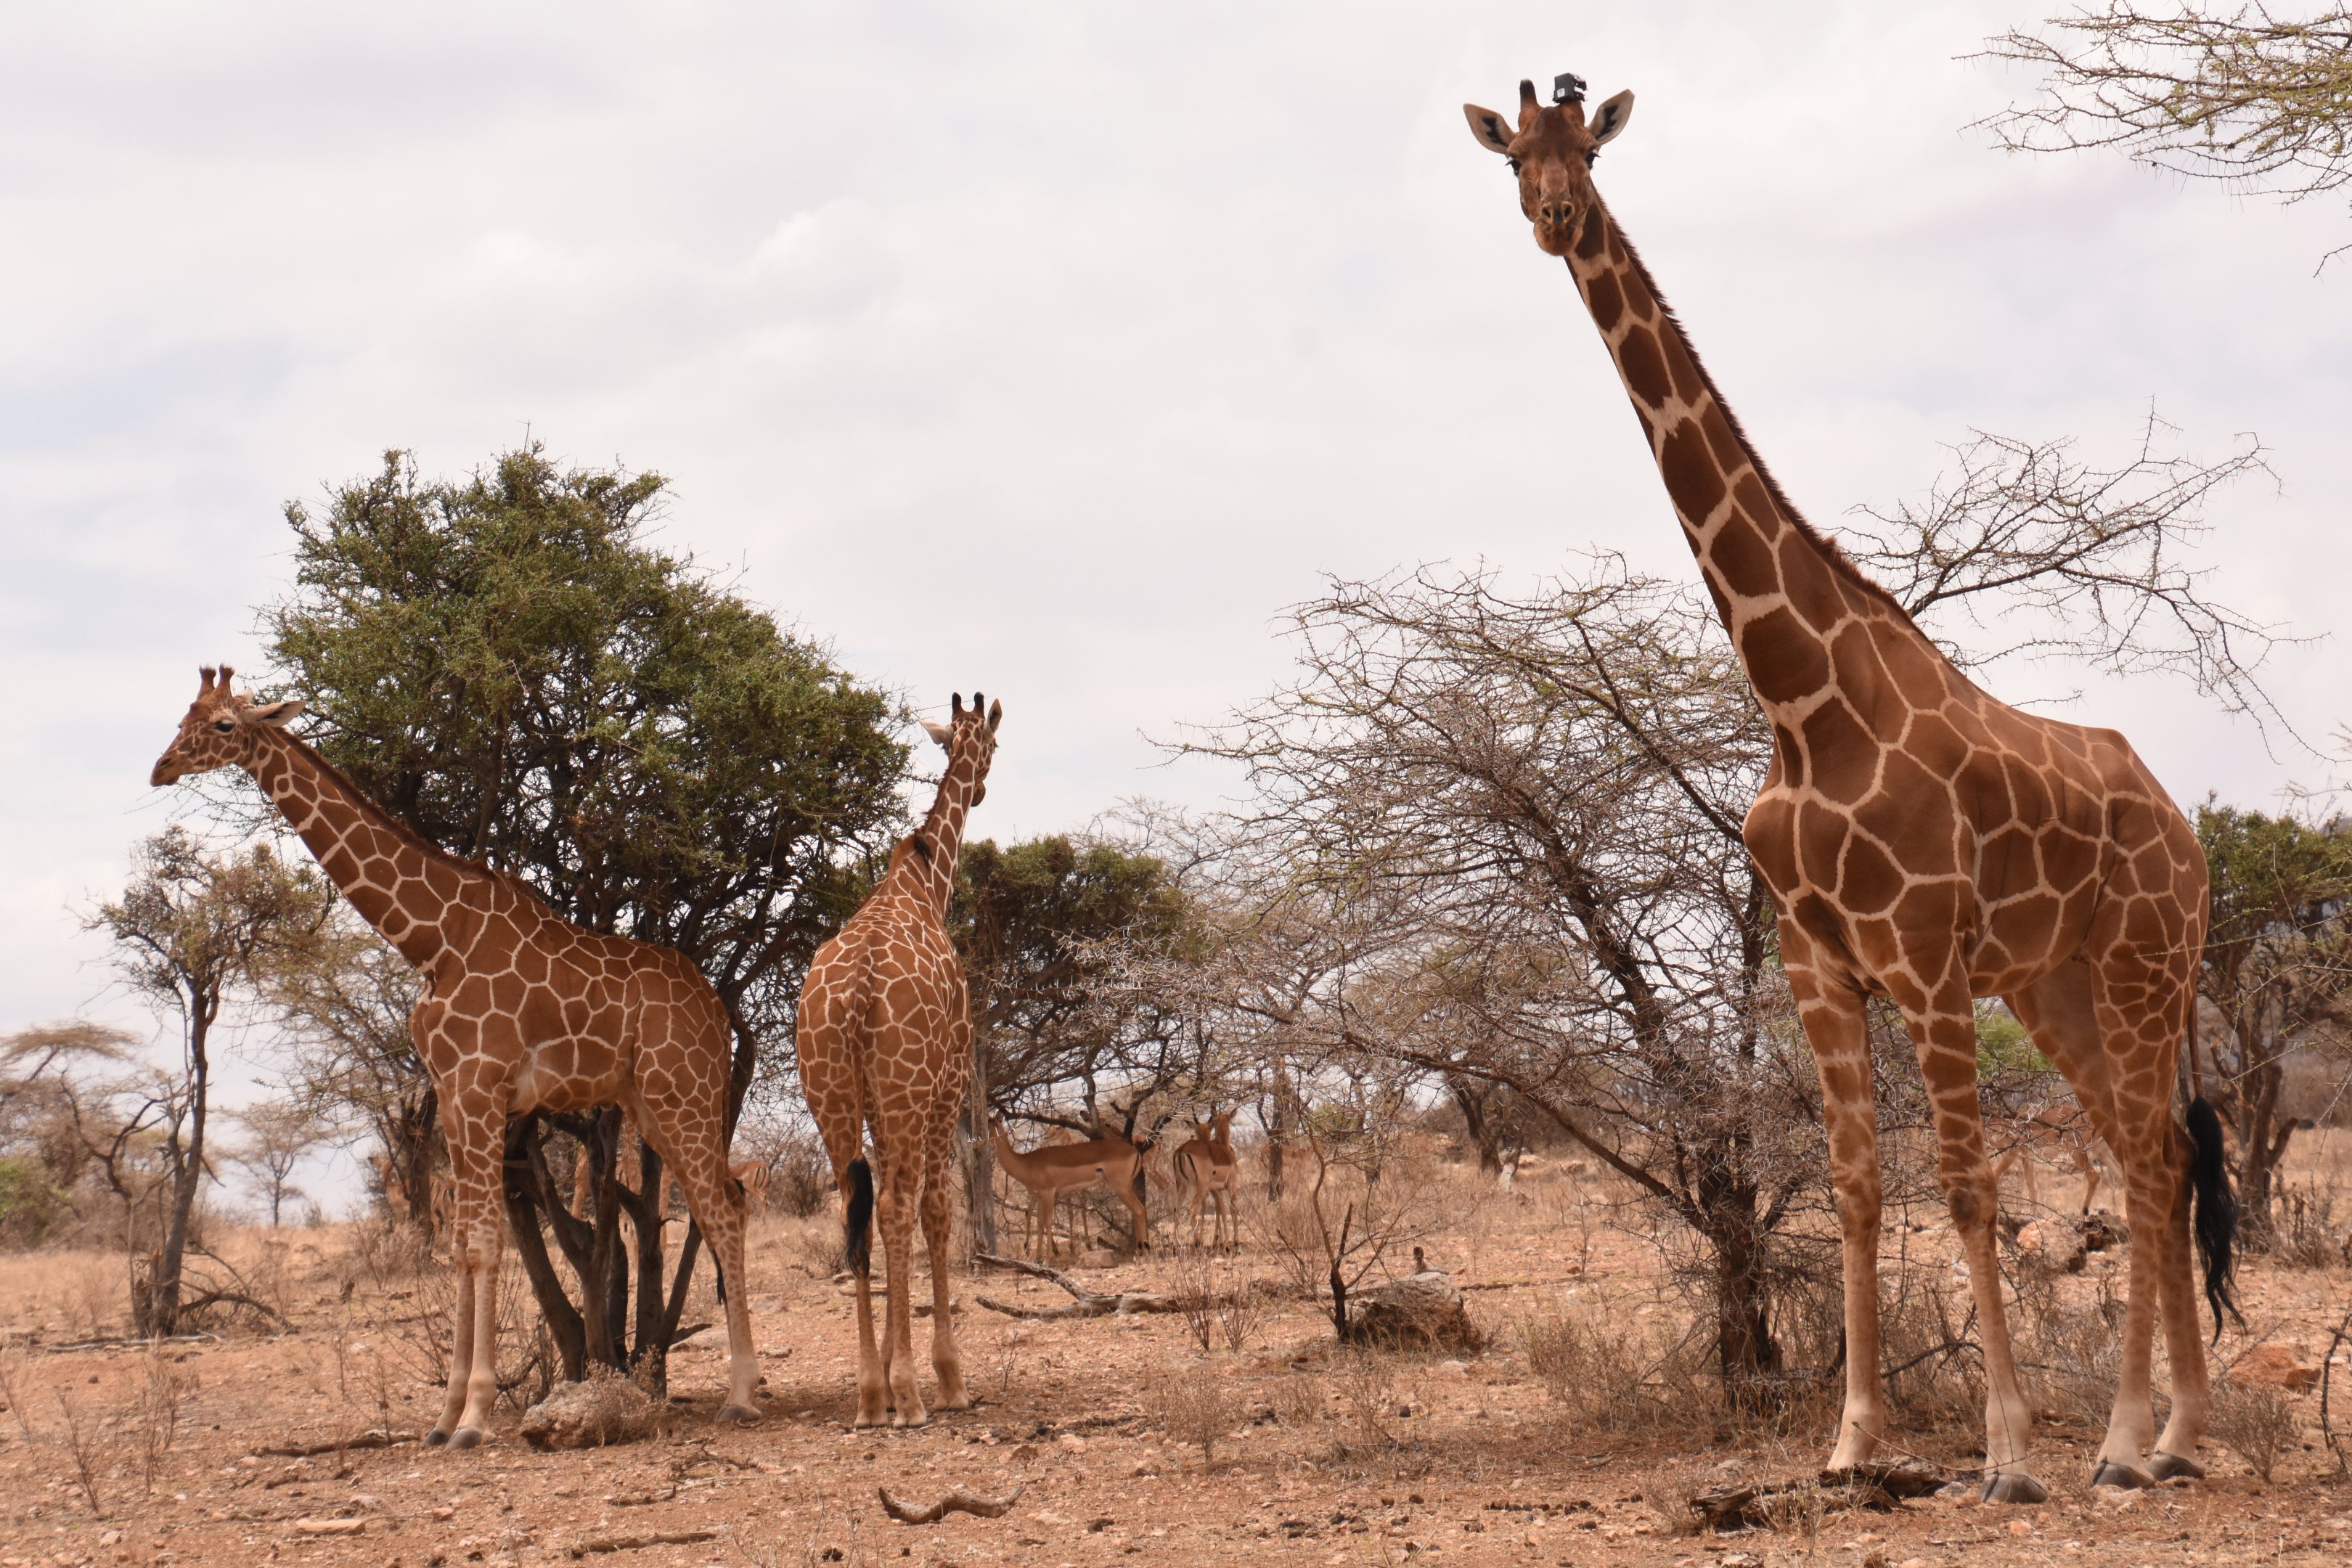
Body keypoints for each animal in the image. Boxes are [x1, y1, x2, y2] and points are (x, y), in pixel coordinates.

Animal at [149, 667, 759, 1447]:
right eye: (183, 717)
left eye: (224, 725)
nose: (162, 768)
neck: (431, 939)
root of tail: (719, 1012)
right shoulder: (453, 1092)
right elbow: (463, 1243)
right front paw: (443, 1420)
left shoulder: (479, 1087)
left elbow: (483, 1245)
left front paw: (474, 1416)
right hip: (652, 1103)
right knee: (725, 1205)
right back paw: (743, 1386)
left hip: (684, 1090)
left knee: (722, 1208)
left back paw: (742, 1396)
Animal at [797, 692, 1001, 1428]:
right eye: (993, 744)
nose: (981, 785)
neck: (925, 879)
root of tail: (858, 992)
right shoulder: (947, 1084)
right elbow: (936, 1211)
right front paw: (947, 1379)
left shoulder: (882, 1105)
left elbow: (887, 1215)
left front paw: (889, 1375)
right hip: (908, 1090)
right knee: (895, 1208)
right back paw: (911, 1398)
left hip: (831, 1094)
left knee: (853, 1211)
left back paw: (868, 1396)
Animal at [1462, 75, 2236, 1499]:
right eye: (1512, 161)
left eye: (1587, 153)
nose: (1551, 219)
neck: (1799, 703)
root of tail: (2186, 829)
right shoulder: (1822, 958)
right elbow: (1861, 1185)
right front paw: (1853, 1442)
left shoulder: (1923, 956)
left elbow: (1969, 1186)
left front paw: (2005, 1453)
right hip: (2054, 982)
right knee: (2142, 1150)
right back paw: (2155, 1437)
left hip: (2149, 963)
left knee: (2155, 1161)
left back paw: (2136, 1441)